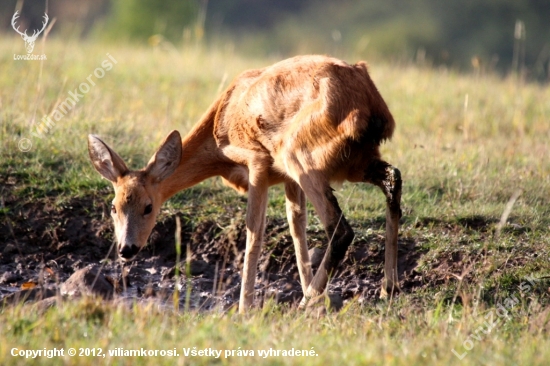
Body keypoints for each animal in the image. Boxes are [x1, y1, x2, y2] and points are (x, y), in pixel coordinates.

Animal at [88, 54, 404, 312]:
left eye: (148, 207)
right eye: (114, 207)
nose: (126, 249)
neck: (220, 129)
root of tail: (370, 108)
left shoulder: (258, 163)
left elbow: (254, 233)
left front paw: (244, 308)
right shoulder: (288, 180)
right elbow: (297, 228)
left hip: (299, 156)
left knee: (340, 229)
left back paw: (305, 303)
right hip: (354, 162)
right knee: (393, 180)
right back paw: (386, 289)